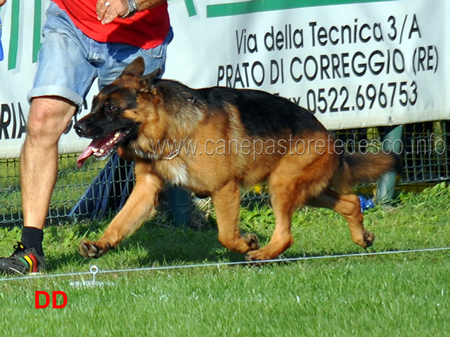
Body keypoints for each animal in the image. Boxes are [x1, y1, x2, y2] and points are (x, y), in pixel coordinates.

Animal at [74, 57, 400, 260]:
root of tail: (328, 135)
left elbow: (226, 236)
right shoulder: (146, 189)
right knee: (351, 201)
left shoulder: (224, 189)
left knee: (286, 235)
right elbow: (120, 222)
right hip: (306, 190)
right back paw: (361, 237)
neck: (169, 129)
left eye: (111, 109)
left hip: (282, 184)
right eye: (93, 104)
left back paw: (262, 254)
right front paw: (101, 243)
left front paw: (246, 242)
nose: (78, 127)